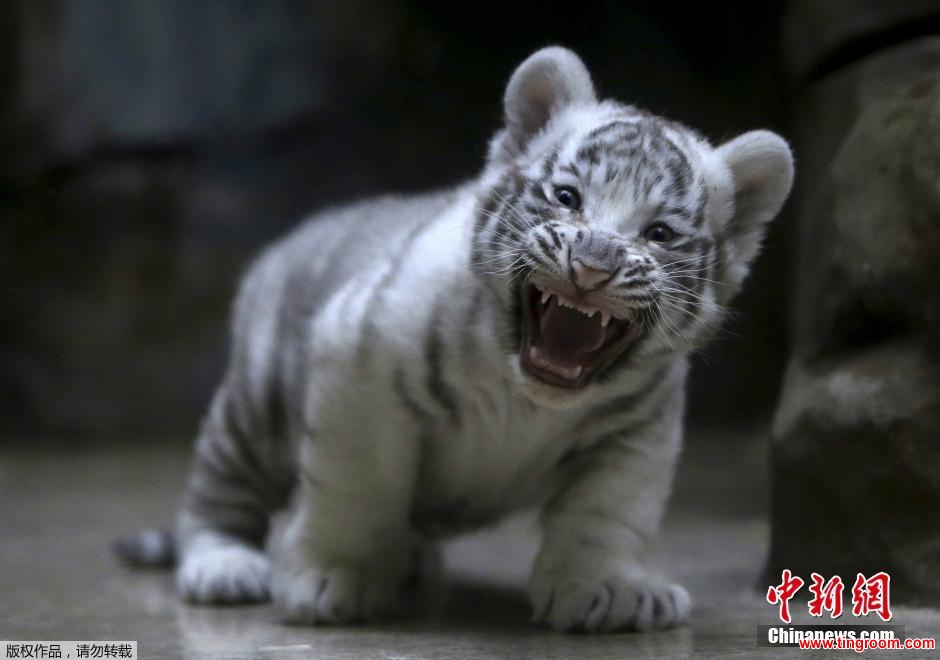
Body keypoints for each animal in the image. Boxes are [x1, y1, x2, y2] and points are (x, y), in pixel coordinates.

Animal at [116, 46, 793, 633]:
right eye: (567, 197)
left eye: (659, 233)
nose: (594, 265)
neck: (527, 398)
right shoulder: (358, 366)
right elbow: (358, 486)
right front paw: (333, 578)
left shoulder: (638, 430)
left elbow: (608, 512)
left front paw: (609, 590)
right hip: (255, 410)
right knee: (215, 492)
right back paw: (225, 566)